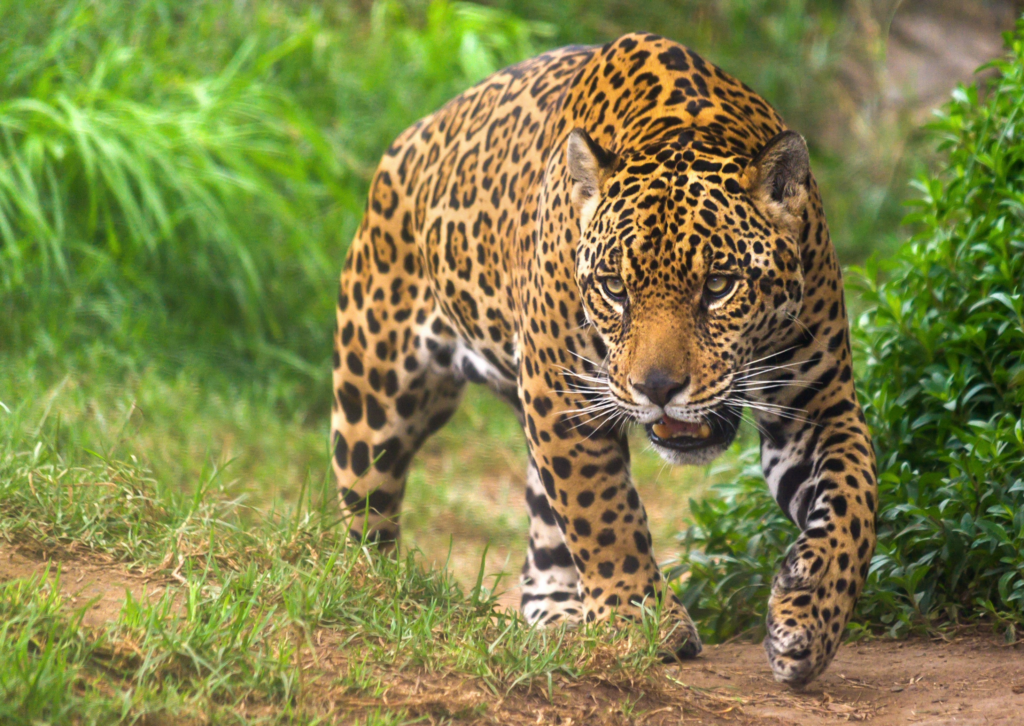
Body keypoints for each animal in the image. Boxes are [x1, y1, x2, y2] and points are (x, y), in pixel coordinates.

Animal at [330, 32, 878, 687]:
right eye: (615, 288)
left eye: (719, 285)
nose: (659, 388)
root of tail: (411, 137)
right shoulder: (562, 394)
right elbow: (603, 511)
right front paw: (640, 619)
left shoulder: (818, 405)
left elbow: (855, 502)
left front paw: (808, 614)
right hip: (376, 398)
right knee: (367, 514)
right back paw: (374, 594)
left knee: (544, 539)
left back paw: (562, 619)